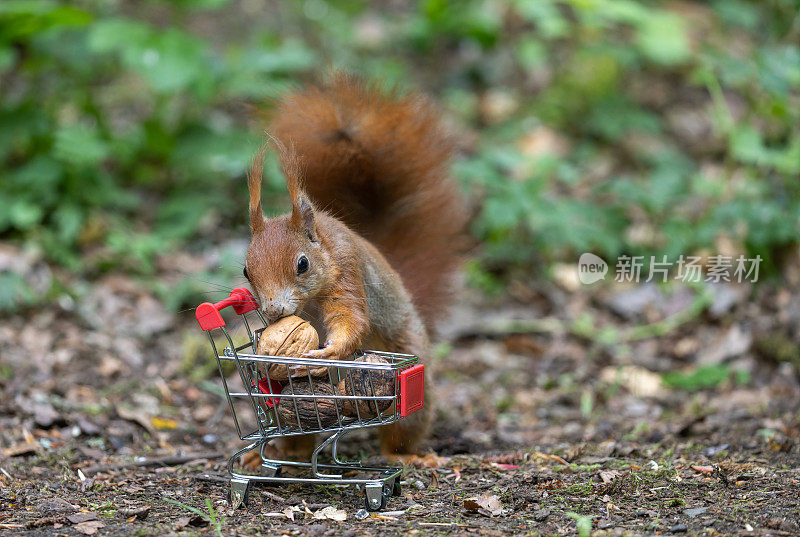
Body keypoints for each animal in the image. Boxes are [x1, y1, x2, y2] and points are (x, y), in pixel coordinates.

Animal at [245, 71, 468, 452]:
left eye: (302, 264)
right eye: (246, 272)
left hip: (408, 364)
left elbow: (350, 319)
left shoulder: (347, 270)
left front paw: (328, 353)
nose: (273, 311)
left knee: (404, 428)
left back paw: (406, 455)